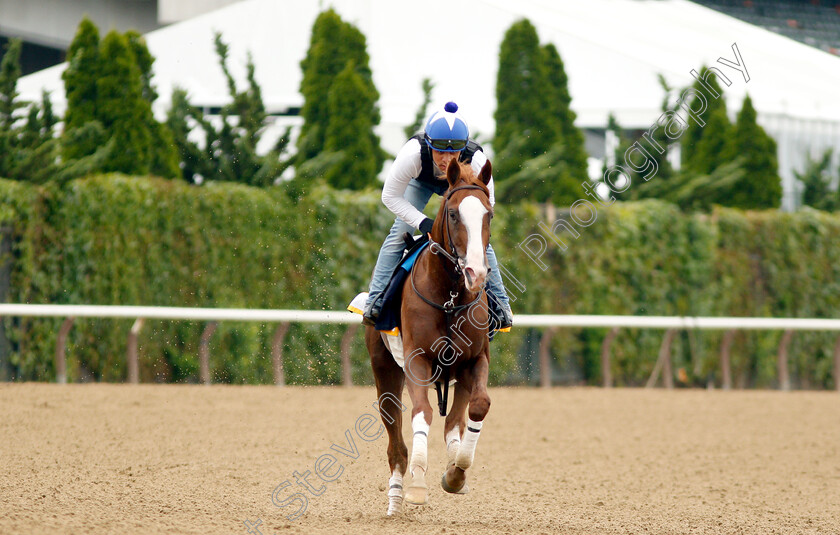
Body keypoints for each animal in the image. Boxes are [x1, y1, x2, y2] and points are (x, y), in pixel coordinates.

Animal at [366, 158, 496, 516]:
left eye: (489, 214)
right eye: (452, 214)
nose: (476, 273)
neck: (450, 295)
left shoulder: (474, 360)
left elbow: (478, 406)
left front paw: (456, 474)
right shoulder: (416, 360)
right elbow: (421, 413)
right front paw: (417, 486)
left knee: (453, 422)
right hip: (384, 368)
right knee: (395, 441)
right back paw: (395, 498)